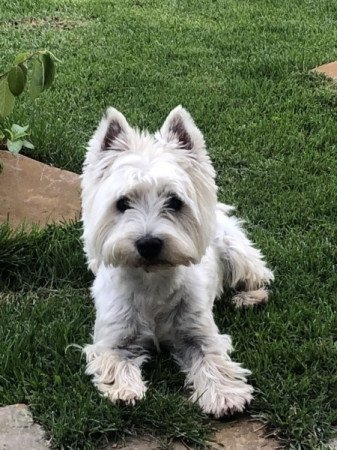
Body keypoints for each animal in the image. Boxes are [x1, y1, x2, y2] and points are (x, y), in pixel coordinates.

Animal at [81, 105, 272, 418]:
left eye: (174, 201)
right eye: (122, 203)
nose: (148, 243)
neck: (152, 281)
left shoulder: (199, 334)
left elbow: (212, 359)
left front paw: (224, 395)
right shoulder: (113, 338)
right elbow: (115, 359)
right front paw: (125, 390)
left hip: (236, 250)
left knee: (258, 275)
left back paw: (248, 298)